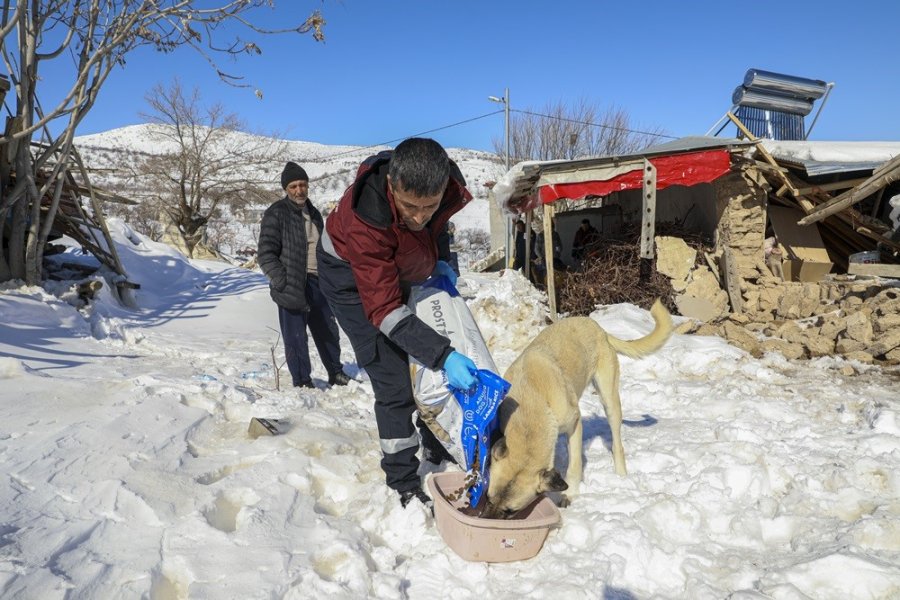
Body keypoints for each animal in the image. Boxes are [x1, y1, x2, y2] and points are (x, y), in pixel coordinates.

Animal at [486, 302, 668, 516]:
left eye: (510, 511)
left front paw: (569, 494)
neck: (530, 404)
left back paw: (621, 476)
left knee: (617, 443)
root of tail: (595, 325)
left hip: (609, 400)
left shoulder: (574, 423)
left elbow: (574, 465)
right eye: (488, 499)